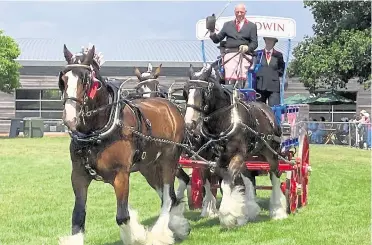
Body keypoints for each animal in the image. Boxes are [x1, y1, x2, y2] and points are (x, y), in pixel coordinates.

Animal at [58, 44, 192, 245]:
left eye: (86, 80)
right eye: (64, 80)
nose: (70, 118)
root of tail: (171, 107)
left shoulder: (121, 175)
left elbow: (122, 216)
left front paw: (135, 235)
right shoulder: (78, 175)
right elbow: (78, 216)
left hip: (169, 161)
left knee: (168, 197)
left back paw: (159, 234)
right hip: (149, 168)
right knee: (167, 197)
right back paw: (176, 226)